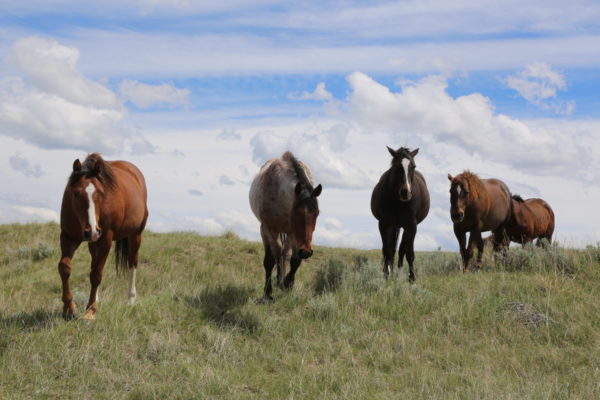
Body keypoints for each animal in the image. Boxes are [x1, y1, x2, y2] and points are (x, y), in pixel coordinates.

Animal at [57, 153, 149, 318]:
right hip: (93, 243)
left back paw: (130, 300)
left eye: (100, 192)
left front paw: (90, 311)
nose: (92, 230)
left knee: (133, 263)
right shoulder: (68, 237)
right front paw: (69, 308)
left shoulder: (105, 239)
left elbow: (96, 274)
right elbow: (65, 267)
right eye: (76, 192)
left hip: (135, 235)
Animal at [250, 152, 324, 302]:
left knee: (284, 253)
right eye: (296, 212)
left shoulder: (293, 233)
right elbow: (269, 260)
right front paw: (267, 293)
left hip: (288, 234)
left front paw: (288, 283)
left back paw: (281, 281)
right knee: (278, 252)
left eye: (317, 213)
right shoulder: (266, 229)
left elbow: (295, 260)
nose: (307, 252)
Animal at [372, 147, 428, 282]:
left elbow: (409, 253)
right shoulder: (385, 224)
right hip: (395, 225)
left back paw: (399, 274)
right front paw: (386, 276)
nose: (405, 192)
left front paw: (412, 278)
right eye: (396, 166)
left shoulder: (411, 226)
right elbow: (387, 251)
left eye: (413, 166)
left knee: (402, 249)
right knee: (392, 249)